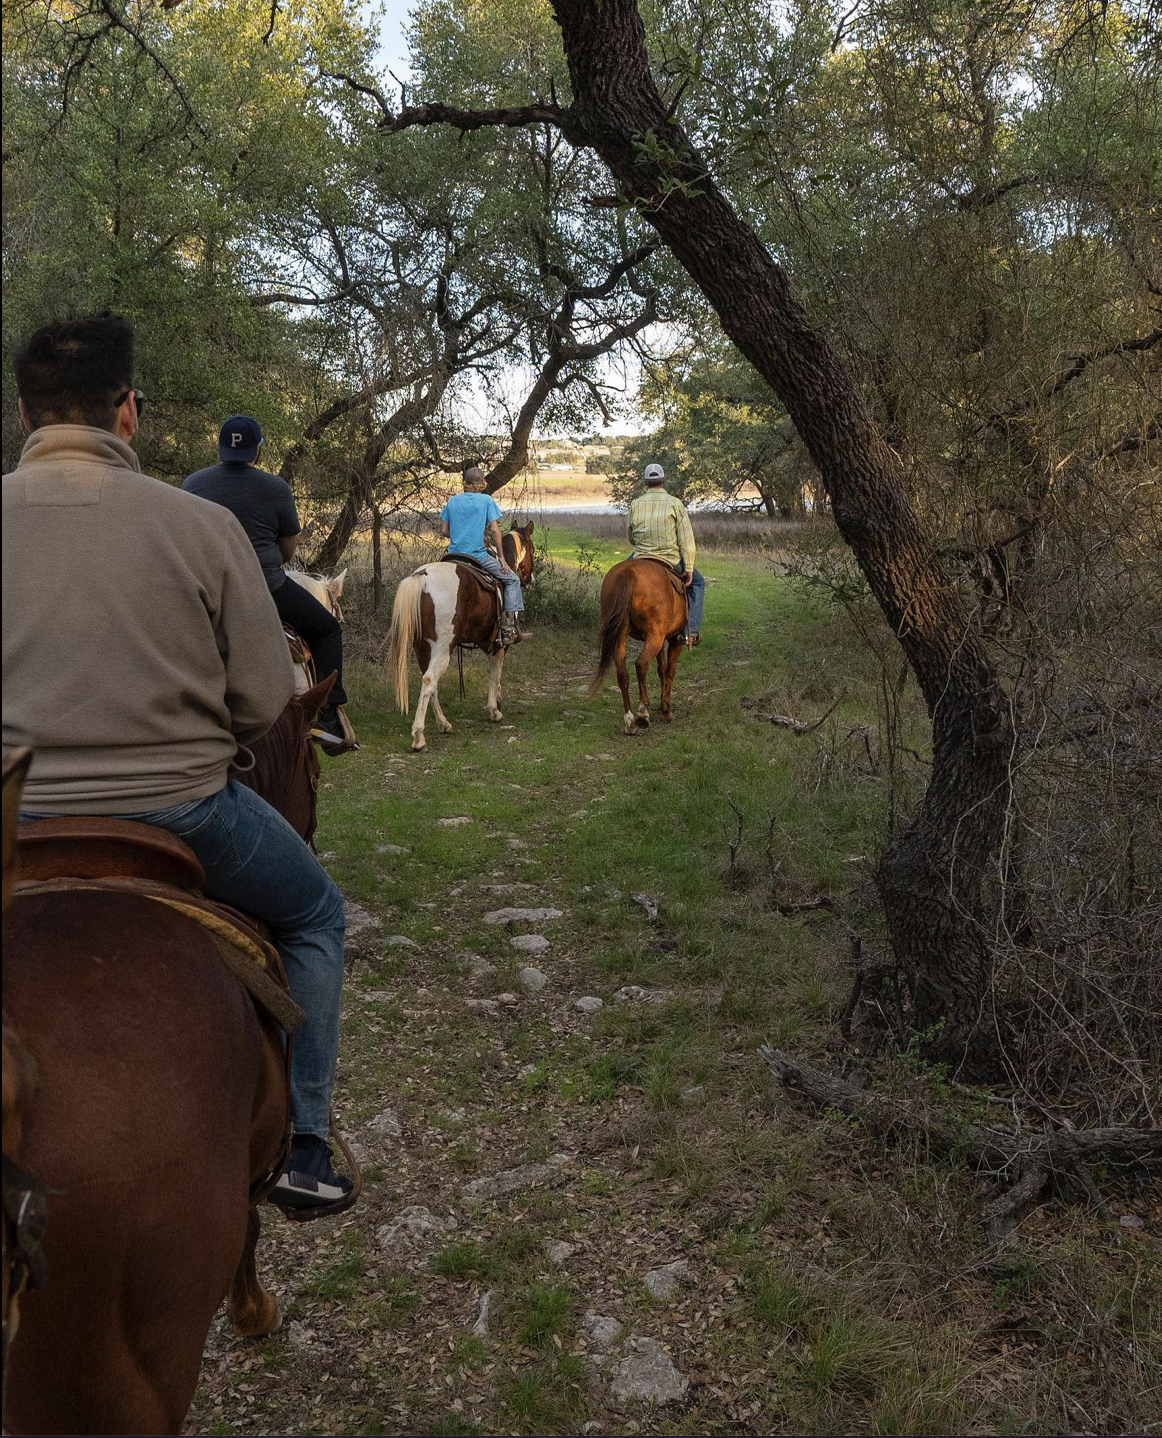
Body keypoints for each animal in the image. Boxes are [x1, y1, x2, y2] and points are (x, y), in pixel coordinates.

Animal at [388, 526, 537, 753]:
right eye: (532, 550)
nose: (531, 580)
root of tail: (422, 578)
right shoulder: (499, 645)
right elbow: (495, 673)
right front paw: (494, 710)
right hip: (442, 647)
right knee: (430, 679)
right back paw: (419, 737)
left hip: (422, 647)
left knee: (429, 681)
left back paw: (443, 723)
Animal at [589, 555, 690, 736]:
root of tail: (628, 573)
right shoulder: (673, 640)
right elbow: (669, 671)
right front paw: (666, 711)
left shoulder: (661, 641)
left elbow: (661, 670)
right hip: (654, 637)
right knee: (641, 664)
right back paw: (643, 713)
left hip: (623, 636)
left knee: (622, 673)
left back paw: (630, 722)